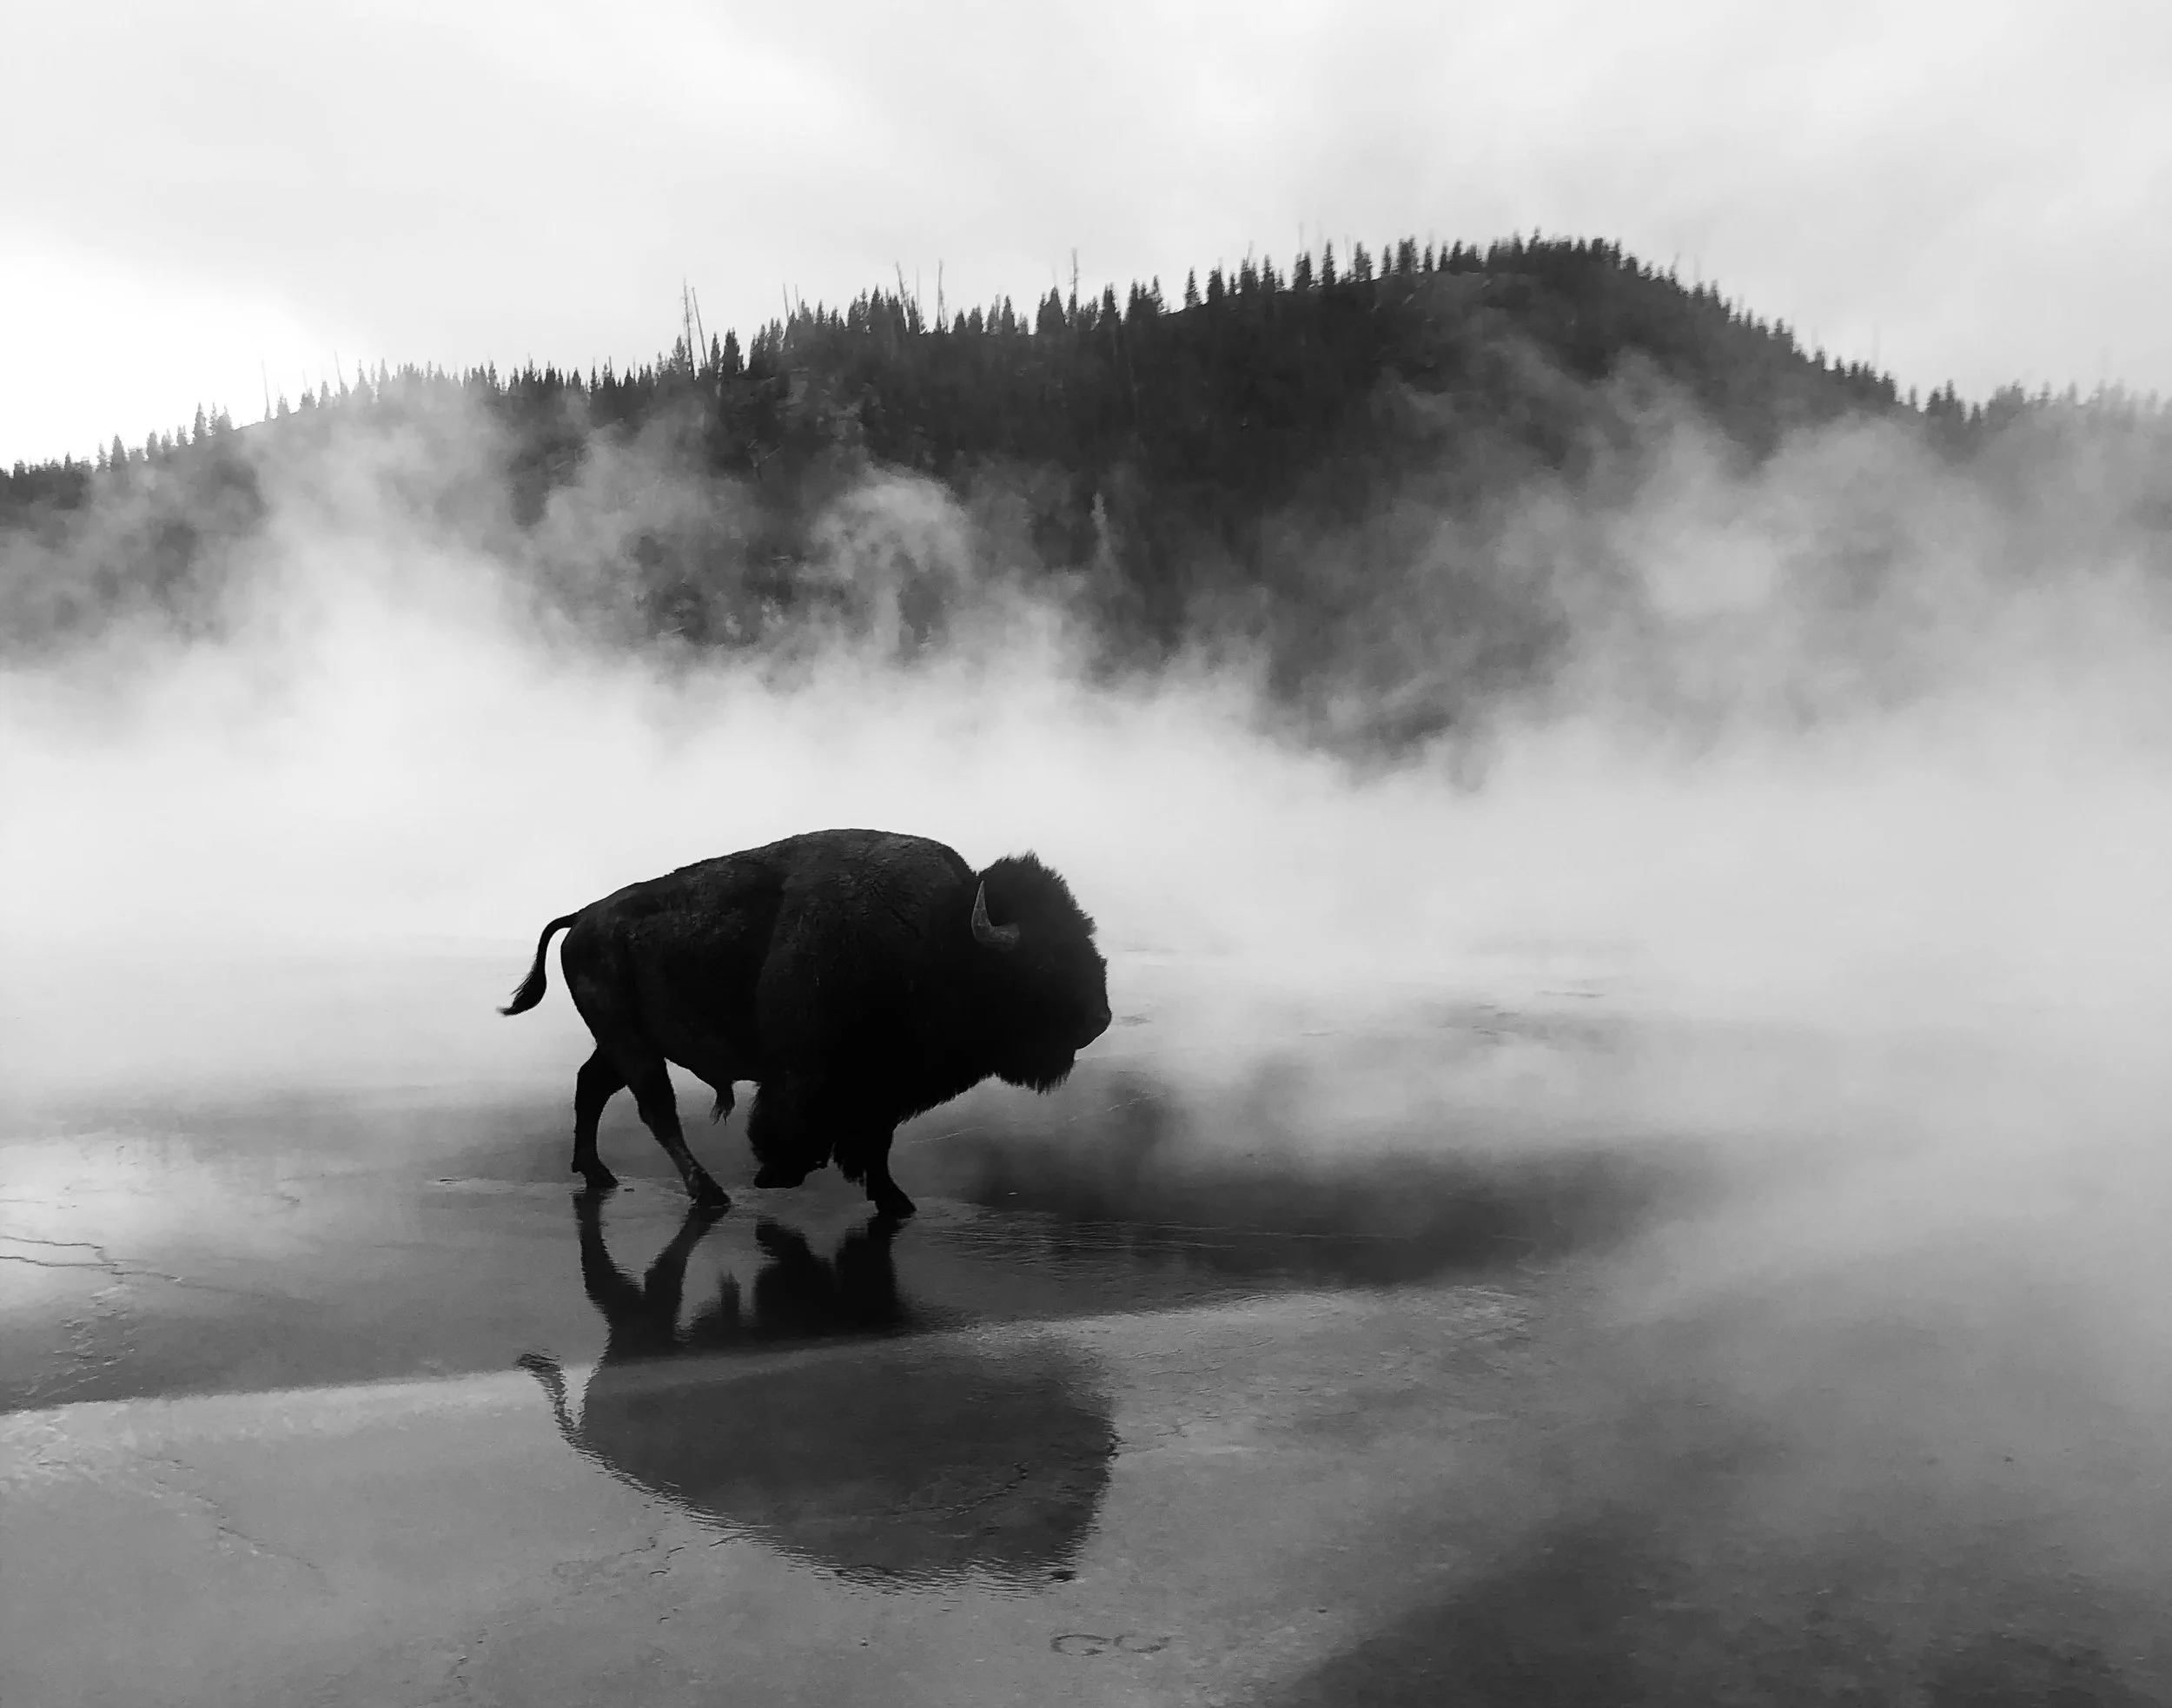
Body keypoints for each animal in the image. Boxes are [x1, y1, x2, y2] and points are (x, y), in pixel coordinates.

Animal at [501, 829, 1112, 1217]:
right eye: (1043, 962)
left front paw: (894, 1201)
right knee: (656, 1109)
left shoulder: (882, 1090)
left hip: (623, 1043)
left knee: (592, 1087)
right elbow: (809, 1127)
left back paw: (597, 1172)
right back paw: (709, 1193)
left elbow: (876, 1145)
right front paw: (778, 1173)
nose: (1100, 1019)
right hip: (631, 1044)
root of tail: (583, 918)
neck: (942, 934)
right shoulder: (814, 1076)